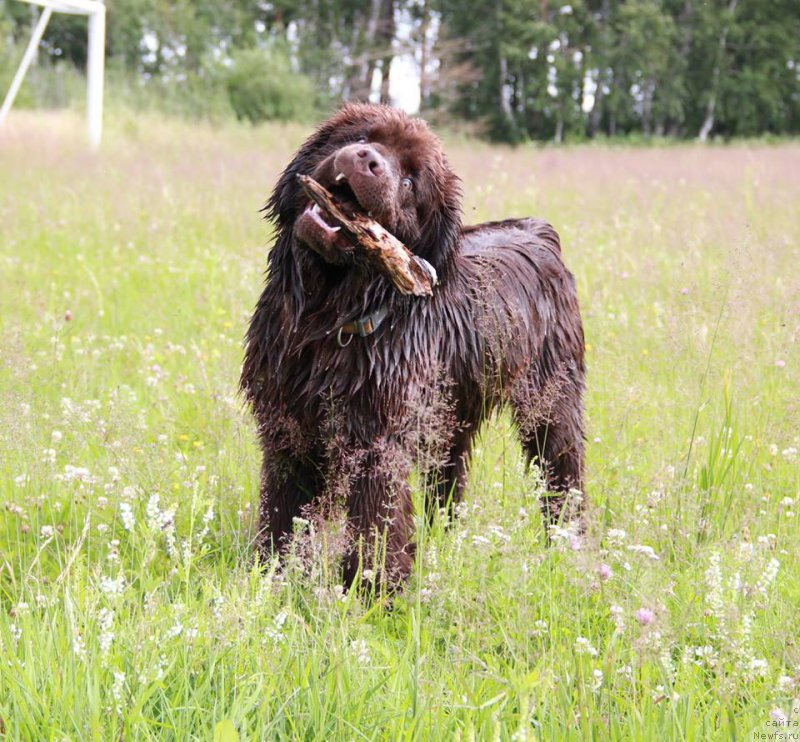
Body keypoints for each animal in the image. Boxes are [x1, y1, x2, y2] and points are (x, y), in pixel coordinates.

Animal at [241, 103, 584, 592]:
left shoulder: (378, 442)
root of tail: (540, 232)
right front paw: (270, 576)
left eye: (410, 182)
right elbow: (283, 514)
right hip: (452, 416)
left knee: (564, 476)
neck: (325, 319)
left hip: (551, 404)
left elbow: (375, 524)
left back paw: (570, 549)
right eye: (362, 135)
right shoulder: (287, 430)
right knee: (448, 483)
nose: (367, 160)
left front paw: (374, 592)